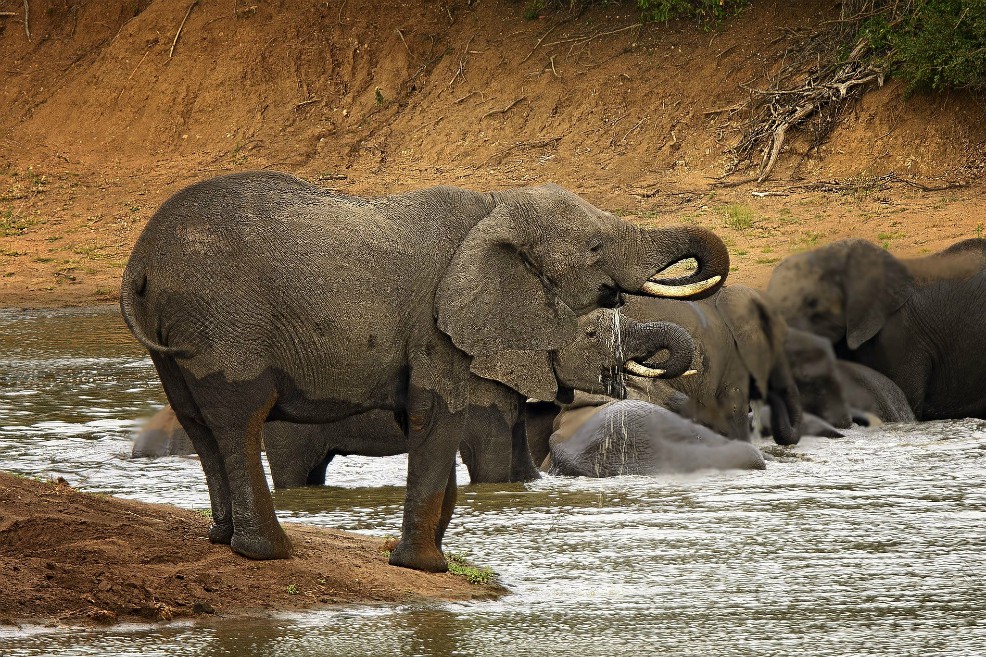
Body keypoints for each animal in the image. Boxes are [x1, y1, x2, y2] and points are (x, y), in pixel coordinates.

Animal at [120, 171, 729, 571]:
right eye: (596, 245)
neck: (492, 208)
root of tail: (139, 261)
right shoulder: (439, 328)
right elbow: (443, 422)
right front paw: (423, 567)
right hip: (221, 320)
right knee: (239, 419)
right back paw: (268, 552)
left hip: (177, 334)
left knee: (196, 419)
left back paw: (221, 539)